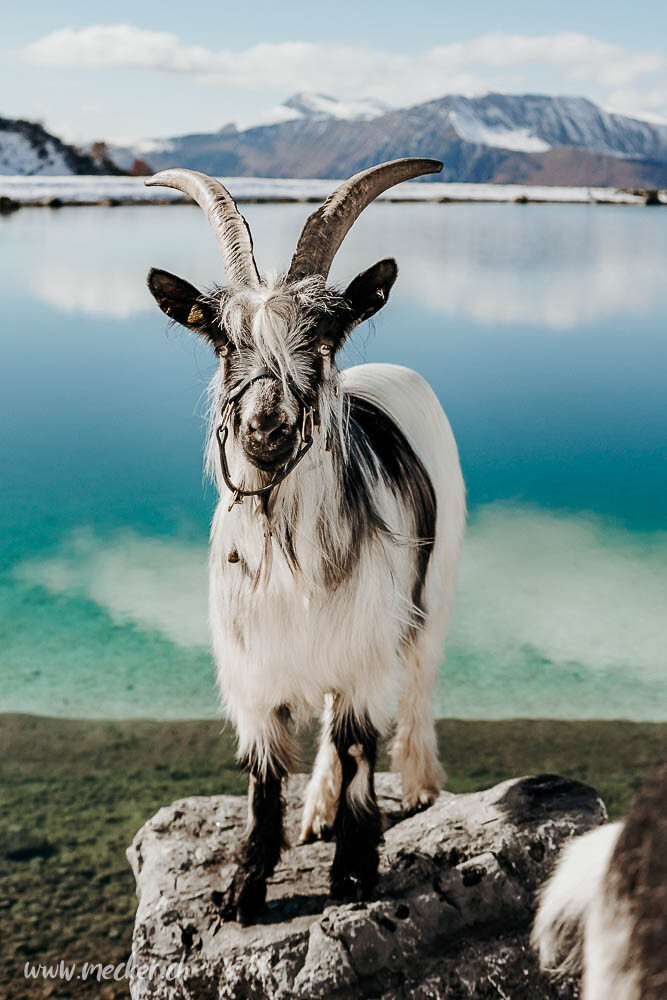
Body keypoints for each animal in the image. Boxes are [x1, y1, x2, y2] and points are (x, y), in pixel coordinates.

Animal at [145, 160, 470, 924]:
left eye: (324, 338)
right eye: (224, 340)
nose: (265, 430)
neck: (290, 562)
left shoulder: (365, 645)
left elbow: (358, 750)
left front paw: (352, 872)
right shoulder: (256, 670)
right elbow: (265, 778)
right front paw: (244, 889)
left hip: (432, 592)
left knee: (415, 687)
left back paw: (416, 783)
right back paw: (316, 809)